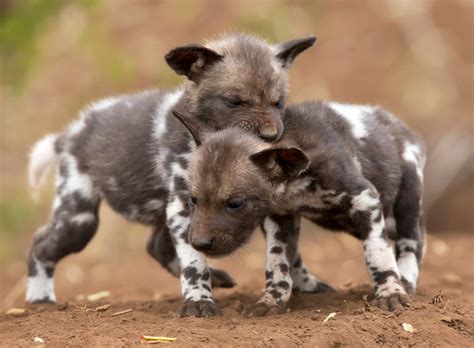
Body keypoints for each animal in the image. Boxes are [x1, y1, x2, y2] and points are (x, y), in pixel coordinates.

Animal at [25, 34, 318, 316]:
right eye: (235, 101)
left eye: (278, 102)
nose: (271, 136)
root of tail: (73, 132)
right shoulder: (185, 205)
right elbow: (194, 263)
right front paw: (198, 300)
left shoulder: (263, 202)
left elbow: (283, 254)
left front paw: (300, 284)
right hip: (78, 221)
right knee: (40, 245)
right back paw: (39, 300)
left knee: (156, 246)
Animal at [176, 100, 428, 316]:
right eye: (194, 200)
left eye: (235, 204)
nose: (198, 243)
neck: (297, 184)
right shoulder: (280, 219)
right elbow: (276, 264)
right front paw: (271, 300)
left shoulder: (366, 199)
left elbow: (378, 254)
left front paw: (390, 293)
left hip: (404, 203)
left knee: (413, 239)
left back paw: (405, 280)